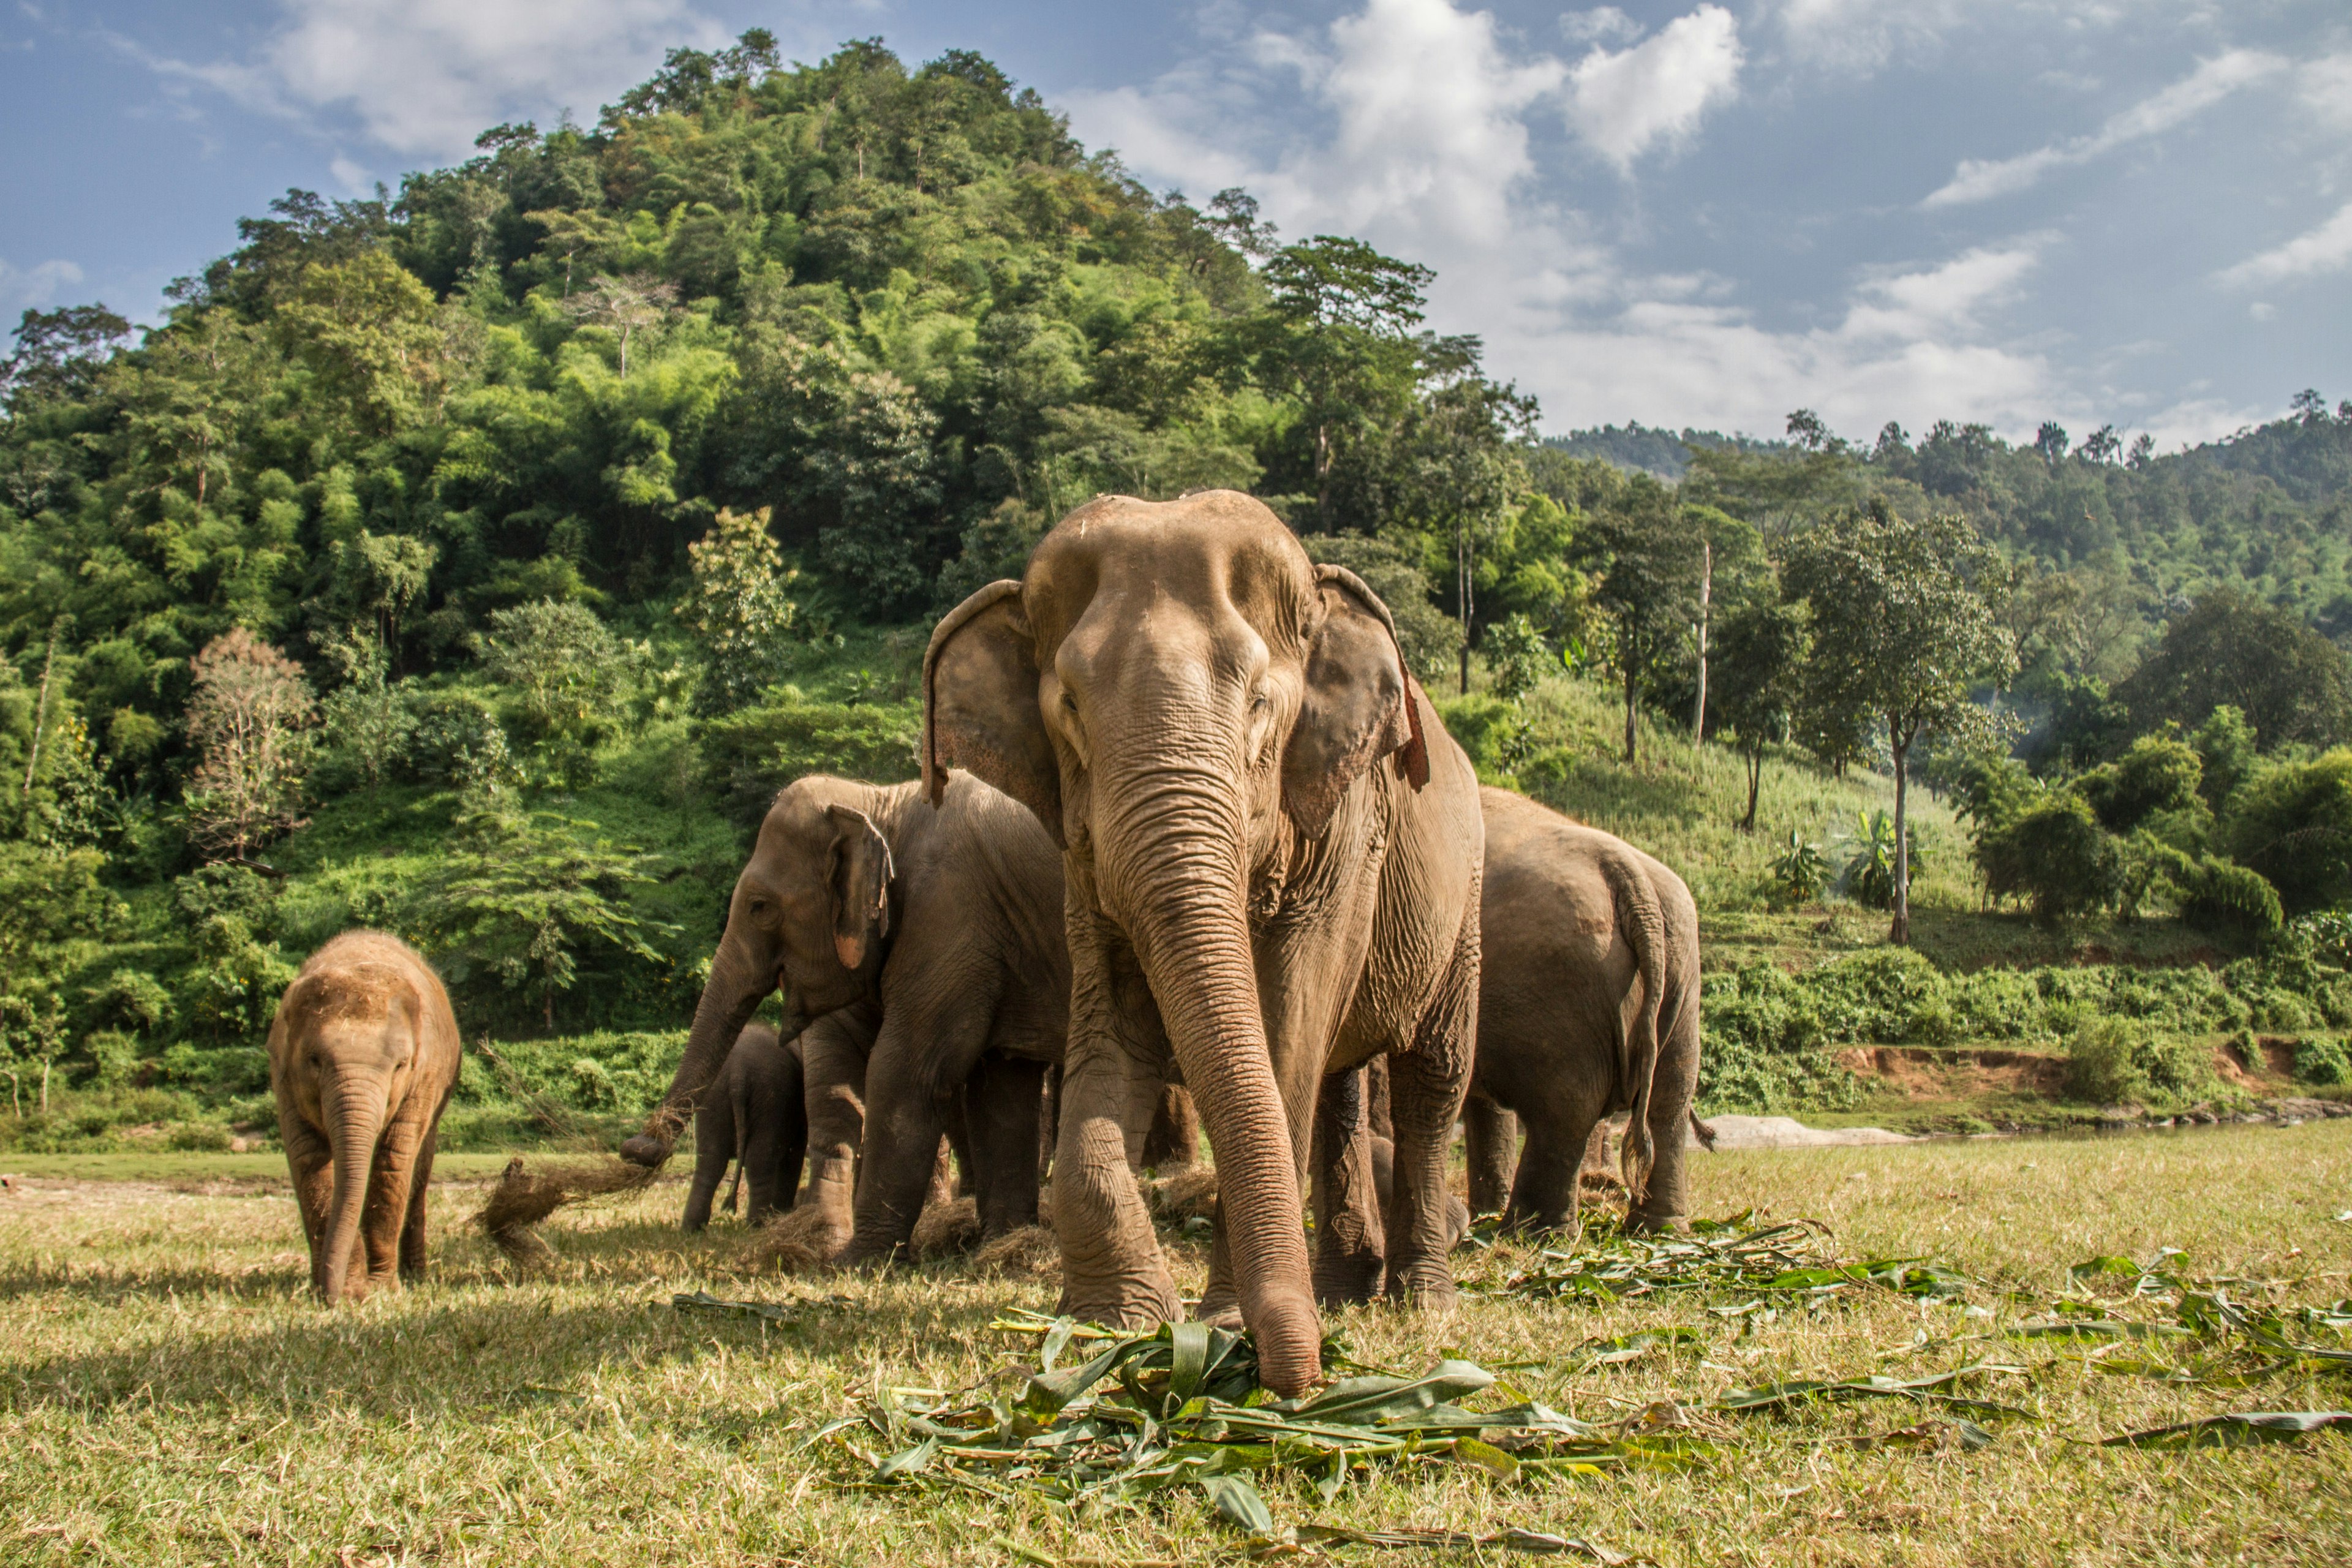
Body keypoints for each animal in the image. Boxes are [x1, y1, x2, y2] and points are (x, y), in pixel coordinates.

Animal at [269, 926, 461, 1306]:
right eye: (314, 1060)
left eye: (401, 1065)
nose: (330, 1297)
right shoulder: (283, 1078)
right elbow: (309, 1160)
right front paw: (348, 1291)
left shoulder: (425, 1077)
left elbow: (394, 1160)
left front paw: (381, 1289)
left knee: (418, 1168)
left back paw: (416, 1277)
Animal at [687, 1025, 813, 1232]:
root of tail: (738, 1073)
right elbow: (794, 1154)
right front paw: (782, 1213)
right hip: (770, 1099)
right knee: (759, 1160)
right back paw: (758, 1224)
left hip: (714, 1098)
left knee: (710, 1161)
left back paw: (692, 1229)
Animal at [926, 491, 1477, 1401]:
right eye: (1069, 706)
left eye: (1258, 702)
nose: (1298, 1378)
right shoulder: (1084, 858)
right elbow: (1113, 1023)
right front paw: (1113, 1324)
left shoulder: (1343, 827)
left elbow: (1286, 1027)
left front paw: (1217, 1324)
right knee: (1339, 1086)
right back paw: (1343, 1291)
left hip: (1463, 902)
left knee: (1432, 1078)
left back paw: (1420, 1303)